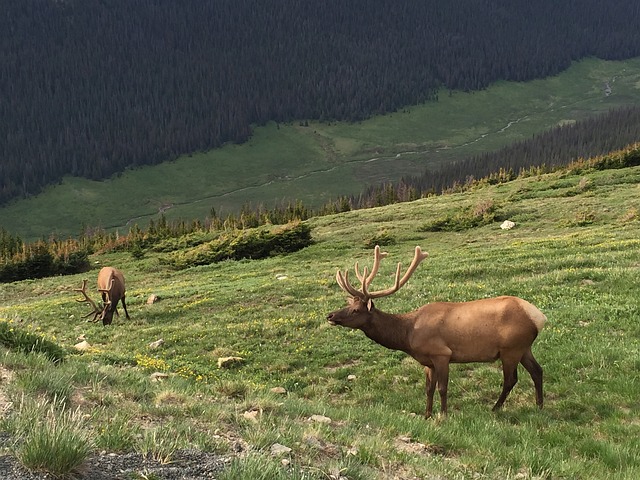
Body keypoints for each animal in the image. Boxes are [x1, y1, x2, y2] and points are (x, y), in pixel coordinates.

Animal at [330, 246, 544, 418]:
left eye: (356, 310)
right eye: (348, 305)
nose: (330, 315)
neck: (407, 335)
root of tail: (539, 317)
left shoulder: (441, 354)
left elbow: (442, 388)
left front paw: (443, 415)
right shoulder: (428, 361)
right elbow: (428, 389)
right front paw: (427, 415)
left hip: (511, 349)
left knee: (510, 379)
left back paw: (495, 408)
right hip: (524, 348)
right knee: (537, 370)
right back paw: (539, 406)